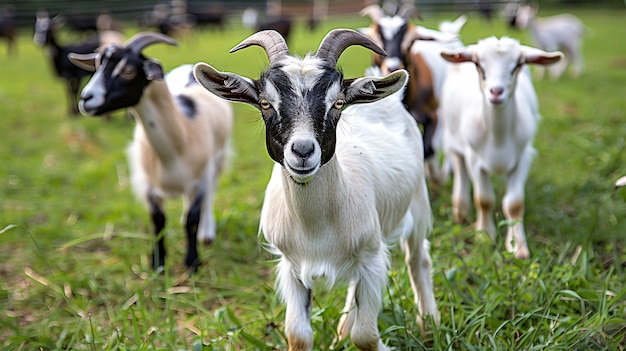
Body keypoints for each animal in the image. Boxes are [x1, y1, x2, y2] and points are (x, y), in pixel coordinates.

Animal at [68, 31, 233, 272]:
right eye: (97, 65)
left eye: (128, 70)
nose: (86, 99)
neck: (180, 137)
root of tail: (189, 68)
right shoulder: (148, 184)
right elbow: (158, 221)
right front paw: (158, 264)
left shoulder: (200, 178)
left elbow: (191, 219)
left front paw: (192, 262)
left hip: (219, 158)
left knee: (209, 195)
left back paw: (207, 232)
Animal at [193, 28, 436, 350]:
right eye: (265, 103)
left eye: (338, 103)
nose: (303, 150)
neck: (317, 229)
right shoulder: (291, 266)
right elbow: (298, 335)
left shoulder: (372, 256)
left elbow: (366, 336)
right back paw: (342, 331)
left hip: (418, 201)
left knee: (418, 258)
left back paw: (429, 324)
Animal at [358, 4, 460, 186]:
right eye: (375, 40)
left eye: (411, 41)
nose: (392, 67)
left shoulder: (435, 116)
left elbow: (429, 148)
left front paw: (437, 177)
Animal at [436, 37, 564, 260]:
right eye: (478, 64)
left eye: (517, 65)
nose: (496, 92)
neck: (498, 139)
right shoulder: (474, 159)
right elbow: (484, 200)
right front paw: (485, 236)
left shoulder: (524, 157)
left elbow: (514, 203)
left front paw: (518, 247)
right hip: (452, 140)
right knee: (459, 170)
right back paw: (460, 211)